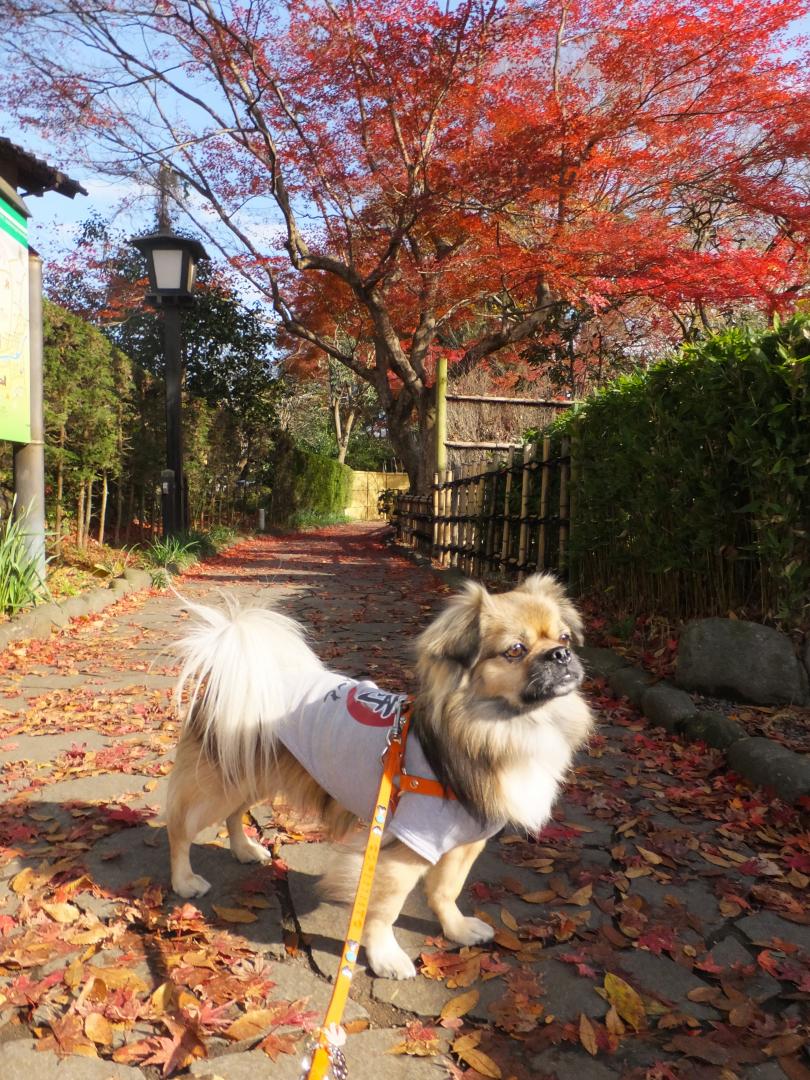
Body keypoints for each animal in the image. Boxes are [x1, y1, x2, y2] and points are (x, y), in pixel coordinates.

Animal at [165, 574, 596, 980]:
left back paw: (244, 850)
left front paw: (456, 930)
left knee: (233, 814)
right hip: (217, 789)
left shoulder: (465, 842)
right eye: (515, 651)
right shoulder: (403, 850)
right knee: (180, 828)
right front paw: (385, 957)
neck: (508, 728)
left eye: (563, 637)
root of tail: (230, 679)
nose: (561, 654)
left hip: (249, 777)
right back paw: (185, 880)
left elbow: (446, 891)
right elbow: (385, 908)